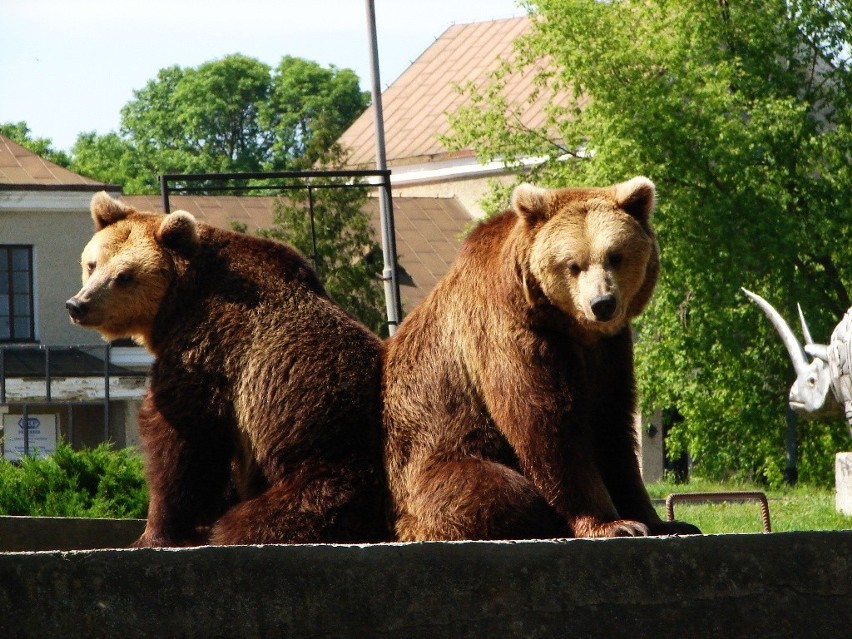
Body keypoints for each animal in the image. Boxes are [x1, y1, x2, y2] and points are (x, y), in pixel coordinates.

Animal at [68, 192, 388, 548]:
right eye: (92, 264)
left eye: (124, 275)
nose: (79, 304)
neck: (180, 301)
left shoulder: (211, 349)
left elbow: (181, 440)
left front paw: (156, 533)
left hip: (321, 456)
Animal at [384, 175, 700, 540]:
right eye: (573, 264)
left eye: (615, 256)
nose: (602, 303)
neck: (571, 328)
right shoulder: (514, 336)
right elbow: (546, 424)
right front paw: (614, 524)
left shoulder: (610, 351)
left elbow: (613, 426)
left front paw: (662, 521)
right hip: (430, 461)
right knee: (494, 489)